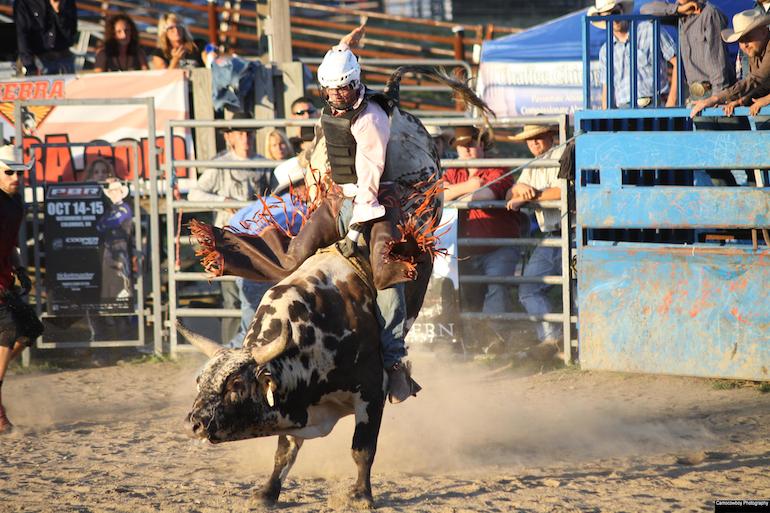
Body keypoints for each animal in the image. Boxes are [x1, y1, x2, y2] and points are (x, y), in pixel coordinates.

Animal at [181, 247, 432, 504]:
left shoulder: (371, 392)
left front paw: (361, 495)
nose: (193, 424)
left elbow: (362, 449)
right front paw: (267, 493)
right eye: (199, 381)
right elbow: (285, 453)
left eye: (236, 384)